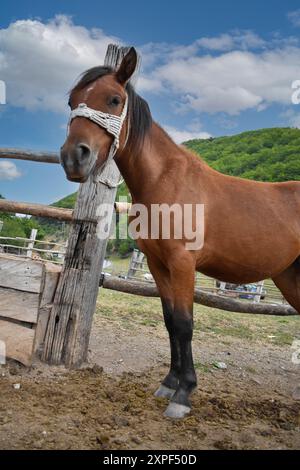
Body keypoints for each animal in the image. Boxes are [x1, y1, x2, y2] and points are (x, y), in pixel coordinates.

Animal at [61, 48, 300, 418]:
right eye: (72, 102)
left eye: (114, 99)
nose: (74, 157)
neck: (165, 181)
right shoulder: (159, 265)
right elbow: (171, 321)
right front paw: (169, 383)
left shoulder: (184, 264)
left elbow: (186, 324)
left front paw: (184, 394)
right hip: (289, 277)